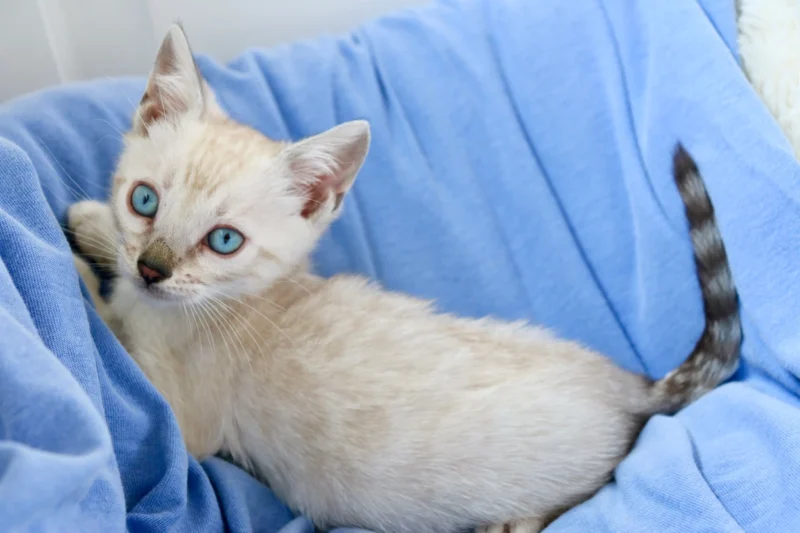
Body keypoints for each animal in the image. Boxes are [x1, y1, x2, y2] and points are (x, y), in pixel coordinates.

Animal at [70, 25, 744, 532]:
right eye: (145, 201)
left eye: (224, 241)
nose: (153, 267)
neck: (245, 300)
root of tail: (626, 384)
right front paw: (92, 226)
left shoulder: (188, 421)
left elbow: (117, 337)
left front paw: (82, 273)